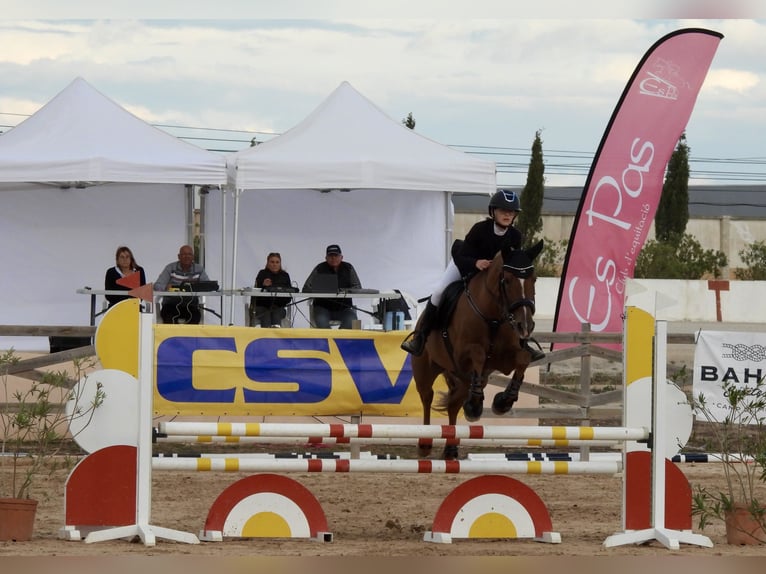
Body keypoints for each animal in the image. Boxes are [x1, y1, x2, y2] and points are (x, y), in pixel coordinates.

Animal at [410, 239, 544, 460]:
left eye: (534, 279)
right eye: (507, 280)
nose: (525, 326)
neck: (494, 316)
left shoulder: (506, 358)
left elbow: (523, 359)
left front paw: (503, 402)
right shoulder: (462, 355)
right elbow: (479, 354)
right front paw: (475, 406)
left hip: (462, 380)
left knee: (453, 405)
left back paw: (451, 448)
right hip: (425, 369)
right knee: (427, 398)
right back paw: (425, 443)